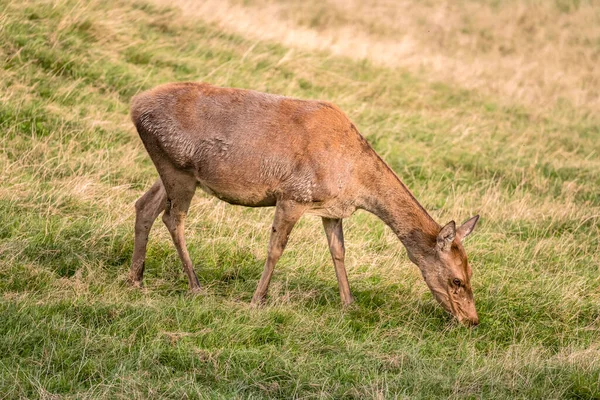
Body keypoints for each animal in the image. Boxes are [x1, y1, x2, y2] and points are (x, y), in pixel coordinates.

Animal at [129, 81, 480, 324]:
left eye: (471, 271)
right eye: (457, 280)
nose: (472, 320)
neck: (356, 180)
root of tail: (134, 105)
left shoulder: (332, 210)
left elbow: (338, 252)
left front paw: (349, 303)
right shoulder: (293, 195)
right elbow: (276, 249)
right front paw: (257, 300)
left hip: (171, 169)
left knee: (144, 206)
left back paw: (136, 279)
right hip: (179, 169)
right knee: (173, 218)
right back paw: (195, 285)